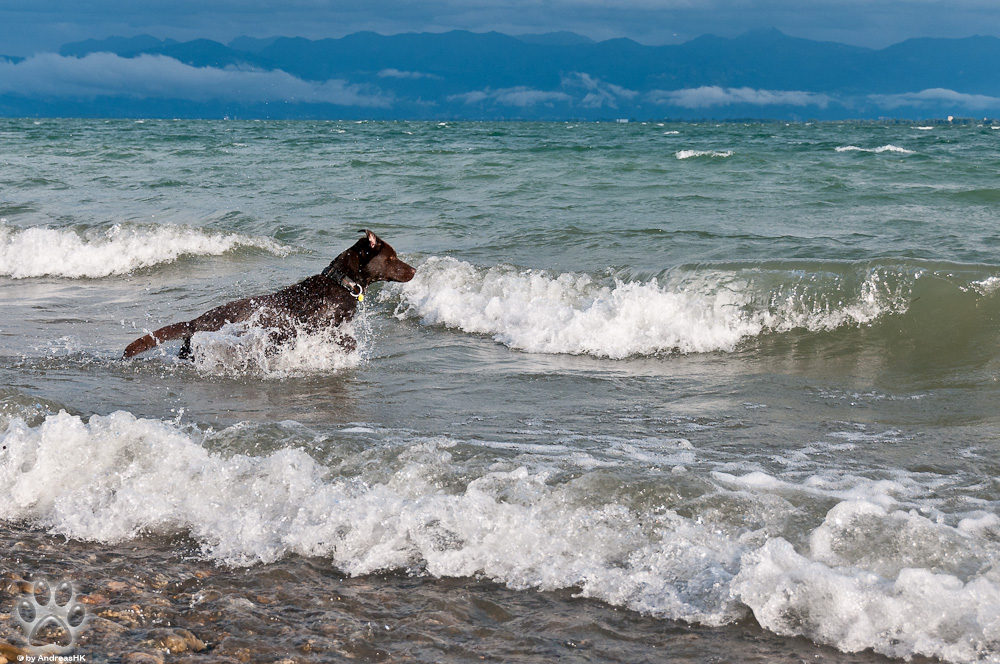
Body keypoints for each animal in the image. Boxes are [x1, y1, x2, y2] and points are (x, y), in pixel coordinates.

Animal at [124, 231, 414, 360]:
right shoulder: (314, 327)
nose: (413, 270)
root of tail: (195, 321)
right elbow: (345, 340)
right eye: (392, 258)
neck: (341, 283)